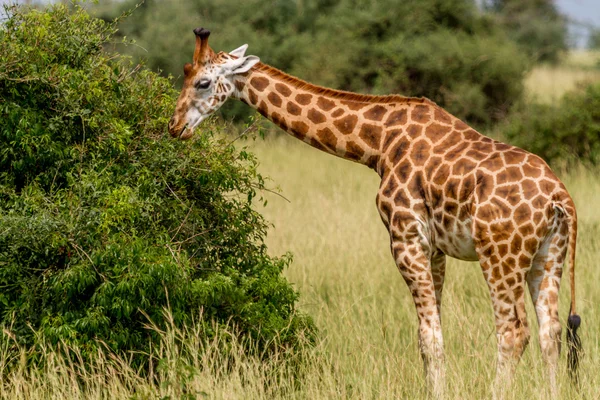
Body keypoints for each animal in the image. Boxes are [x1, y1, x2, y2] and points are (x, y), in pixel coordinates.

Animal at [168, 28, 580, 396]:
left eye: (203, 82)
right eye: (185, 73)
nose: (174, 127)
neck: (378, 143)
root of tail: (560, 198)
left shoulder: (405, 238)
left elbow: (428, 338)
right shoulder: (434, 248)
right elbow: (432, 334)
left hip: (500, 254)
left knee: (513, 331)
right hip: (548, 255)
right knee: (550, 332)